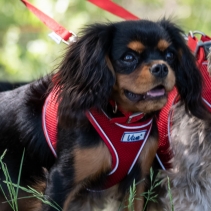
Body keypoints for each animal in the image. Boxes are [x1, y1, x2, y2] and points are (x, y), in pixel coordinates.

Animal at [0, 19, 206, 210]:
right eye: (128, 57)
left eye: (170, 55)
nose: (161, 67)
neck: (125, 120)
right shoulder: (61, 180)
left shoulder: (137, 181)